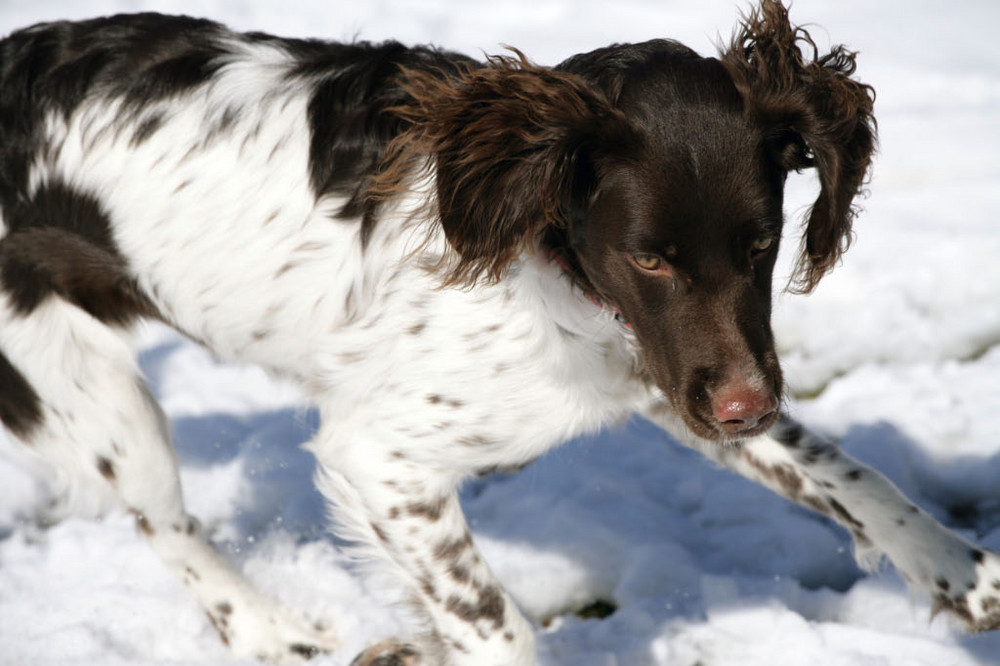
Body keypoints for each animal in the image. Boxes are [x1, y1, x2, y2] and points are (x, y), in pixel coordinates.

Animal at [1, 2, 1000, 660]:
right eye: (649, 258)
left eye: (762, 244)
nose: (746, 409)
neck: (536, 244)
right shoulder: (381, 456)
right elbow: (496, 624)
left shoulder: (675, 372)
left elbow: (843, 471)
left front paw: (961, 571)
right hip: (88, 387)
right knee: (166, 526)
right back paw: (274, 633)